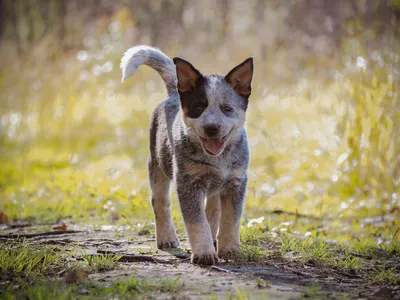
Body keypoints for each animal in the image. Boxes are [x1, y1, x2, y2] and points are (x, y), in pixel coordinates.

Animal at [120, 44, 255, 264]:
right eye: (198, 107)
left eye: (227, 108)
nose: (211, 128)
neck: (217, 158)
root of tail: (174, 94)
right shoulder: (188, 183)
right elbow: (197, 222)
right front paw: (203, 253)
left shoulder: (236, 181)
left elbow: (230, 219)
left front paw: (230, 249)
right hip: (157, 165)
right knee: (160, 202)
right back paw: (166, 239)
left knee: (213, 211)